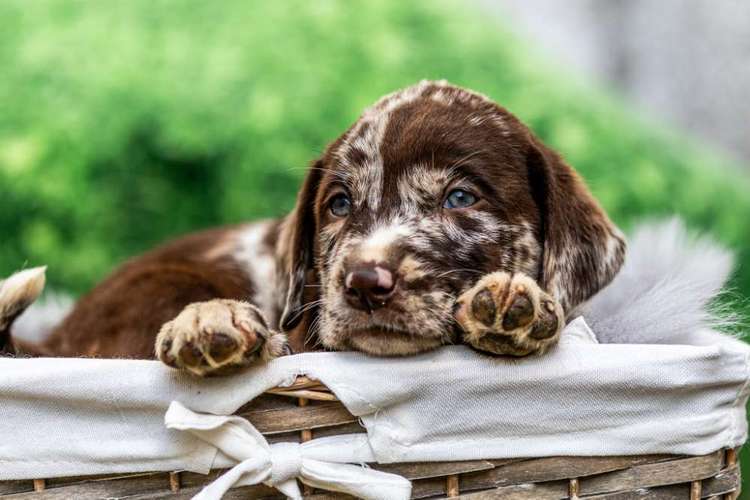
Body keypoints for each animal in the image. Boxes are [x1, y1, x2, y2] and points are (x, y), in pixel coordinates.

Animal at [0, 80, 628, 374]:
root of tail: (53, 343)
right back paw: (213, 324)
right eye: (339, 204)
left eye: (460, 198)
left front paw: (513, 306)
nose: (365, 284)